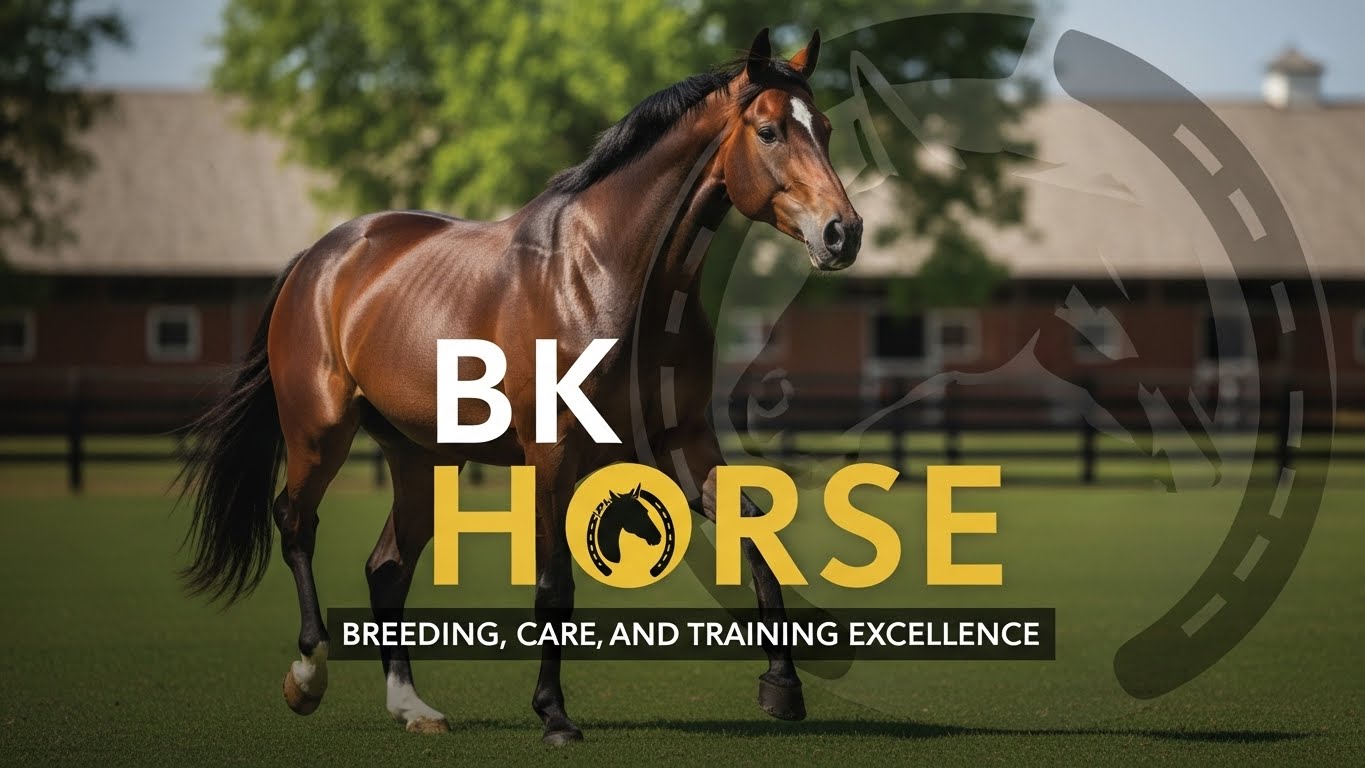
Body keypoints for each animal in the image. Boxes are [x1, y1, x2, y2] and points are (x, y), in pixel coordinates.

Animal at [179, 28, 861, 745]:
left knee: (387, 566)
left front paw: (782, 687)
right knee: (295, 523)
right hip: (319, 433)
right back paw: (308, 675)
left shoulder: (683, 444)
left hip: (421, 458)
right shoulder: (553, 456)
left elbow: (754, 538)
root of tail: (318, 259)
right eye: (769, 130)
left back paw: (411, 707)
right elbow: (553, 584)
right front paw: (554, 715)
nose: (842, 233)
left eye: (825, 128)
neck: (608, 274)